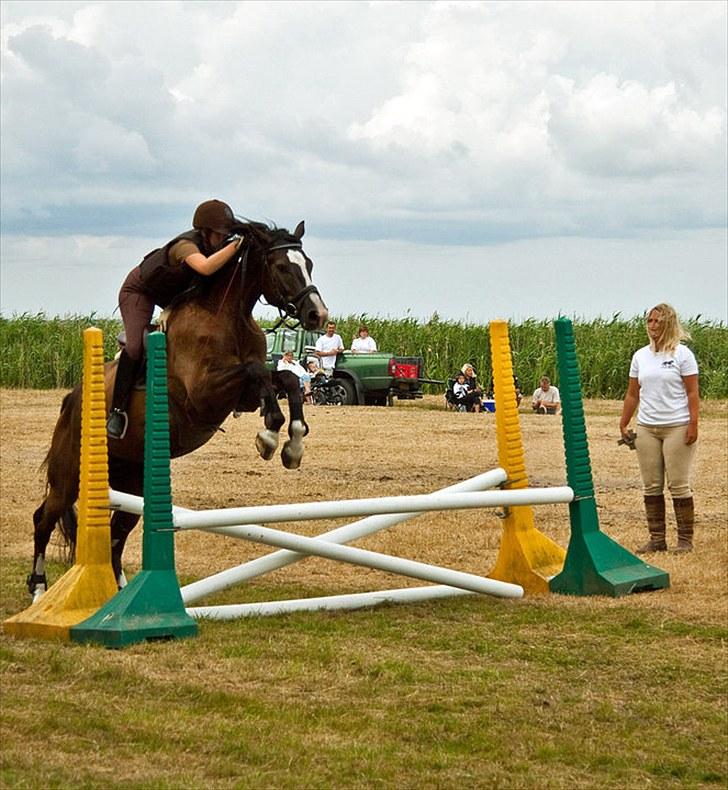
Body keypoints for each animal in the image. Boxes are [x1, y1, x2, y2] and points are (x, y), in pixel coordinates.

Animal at [28, 217, 328, 600]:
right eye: (281, 267)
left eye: (309, 265)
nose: (318, 314)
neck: (227, 317)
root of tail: (70, 400)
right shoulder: (205, 395)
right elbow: (256, 371)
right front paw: (270, 436)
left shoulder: (242, 397)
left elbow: (286, 378)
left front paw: (293, 444)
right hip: (70, 474)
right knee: (44, 517)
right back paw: (39, 588)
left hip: (132, 481)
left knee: (117, 532)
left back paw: (120, 589)